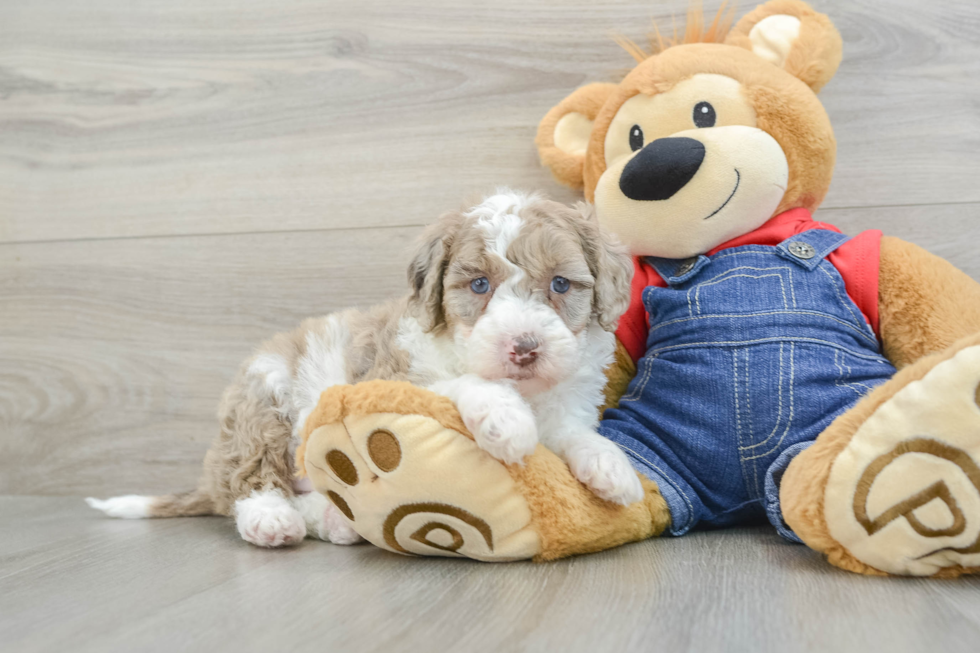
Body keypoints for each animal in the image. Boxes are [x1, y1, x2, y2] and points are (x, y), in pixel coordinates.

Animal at [86, 191, 644, 548]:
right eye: (479, 285)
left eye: (561, 285)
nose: (524, 348)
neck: (526, 389)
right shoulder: (394, 377)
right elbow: (458, 383)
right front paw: (505, 420)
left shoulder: (566, 403)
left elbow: (572, 433)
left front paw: (611, 466)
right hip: (263, 395)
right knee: (251, 479)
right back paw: (271, 519)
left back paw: (335, 521)